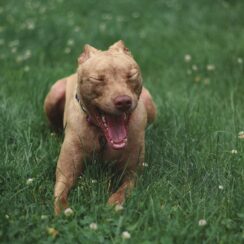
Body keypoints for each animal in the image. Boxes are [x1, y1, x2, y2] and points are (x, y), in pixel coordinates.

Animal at [43, 41, 156, 214]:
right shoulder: (65, 174)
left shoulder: (133, 174)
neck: (103, 137)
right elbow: (60, 194)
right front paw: (63, 211)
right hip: (54, 94)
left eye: (131, 75)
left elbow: (124, 190)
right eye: (98, 79)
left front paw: (114, 203)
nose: (123, 101)